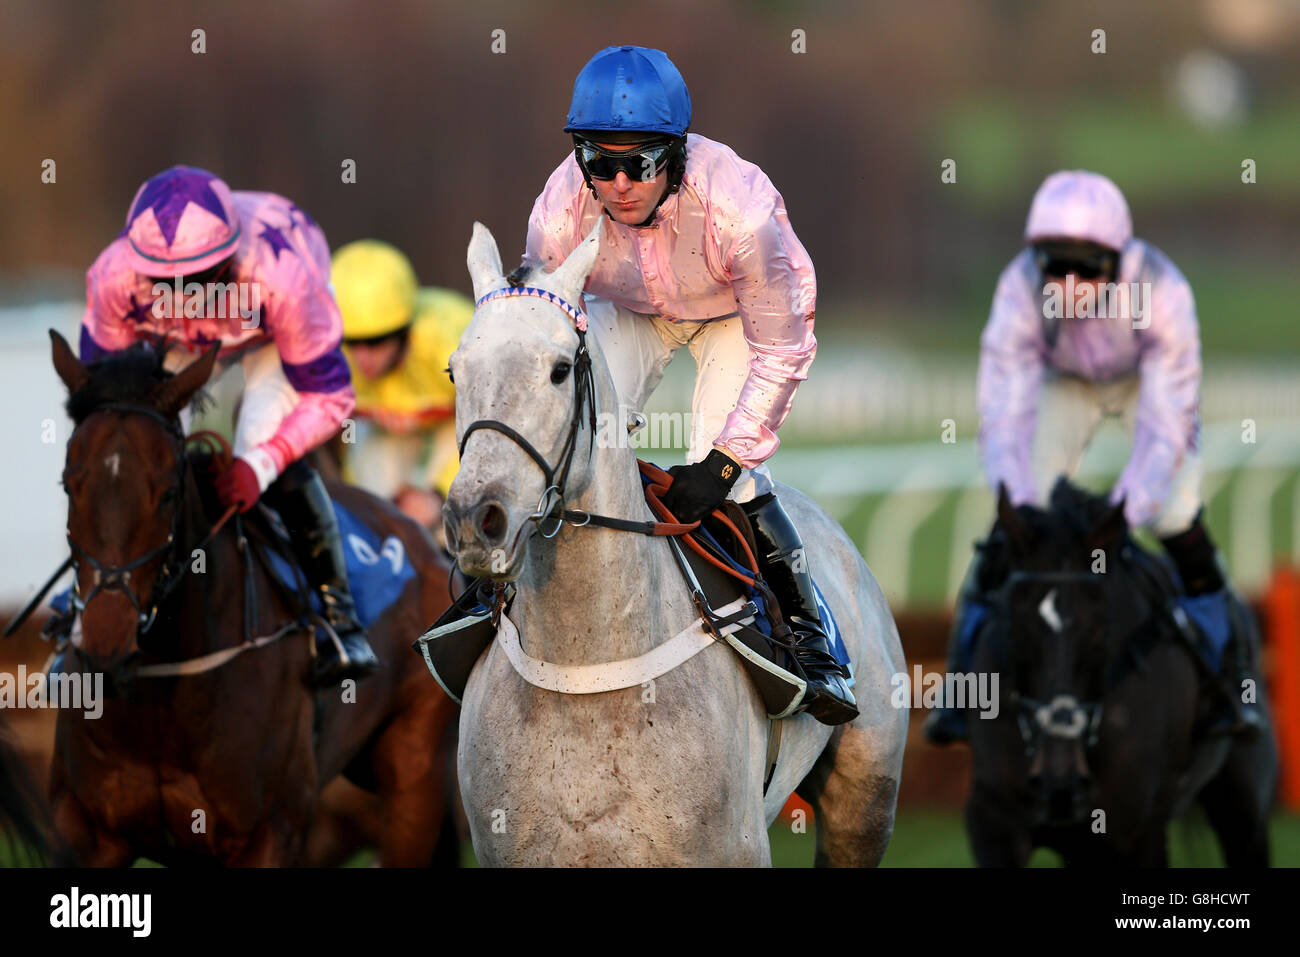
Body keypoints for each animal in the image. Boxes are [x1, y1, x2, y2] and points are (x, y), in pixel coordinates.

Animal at [45, 335, 460, 868]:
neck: (163, 699)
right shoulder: (83, 829)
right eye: (68, 485)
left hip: (413, 782)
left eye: (169, 493)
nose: (104, 645)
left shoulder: (269, 834)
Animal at [967, 481, 1279, 863]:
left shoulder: (1139, 830)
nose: (1060, 780)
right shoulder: (993, 819)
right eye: (1018, 630)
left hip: (1243, 810)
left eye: (1101, 632)